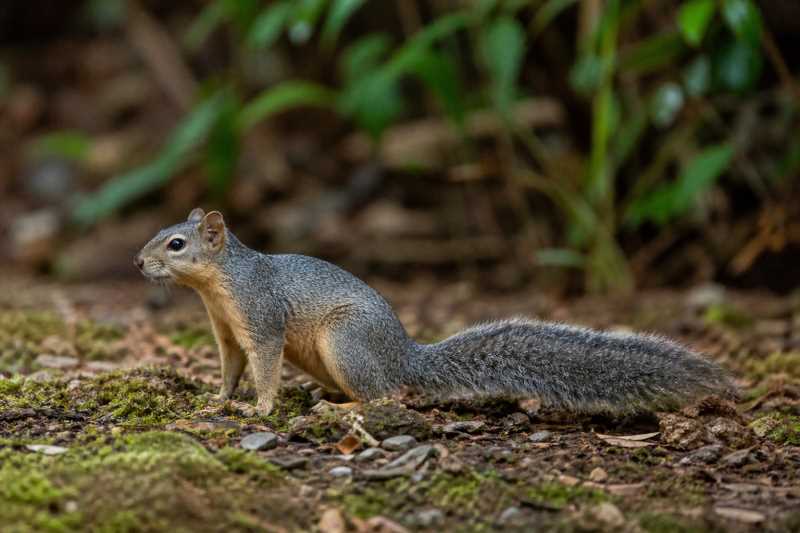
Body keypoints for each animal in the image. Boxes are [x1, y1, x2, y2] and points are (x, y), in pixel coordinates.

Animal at [135, 208, 737, 416]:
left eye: (176, 244)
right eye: (162, 234)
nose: (138, 261)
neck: (221, 286)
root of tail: (405, 358)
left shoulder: (260, 320)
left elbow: (263, 366)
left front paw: (260, 409)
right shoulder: (225, 333)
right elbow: (231, 368)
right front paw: (217, 399)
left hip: (344, 342)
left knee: (386, 396)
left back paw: (341, 410)